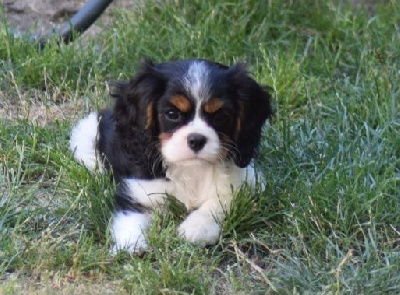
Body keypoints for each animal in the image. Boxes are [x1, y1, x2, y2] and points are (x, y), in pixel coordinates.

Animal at [70, 59, 274, 253]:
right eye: (172, 114)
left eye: (220, 115)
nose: (196, 139)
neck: (191, 169)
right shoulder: (138, 191)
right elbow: (130, 217)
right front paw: (131, 246)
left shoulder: (247, 183)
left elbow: (221, 200)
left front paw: (196, 228)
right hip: (85, 137)